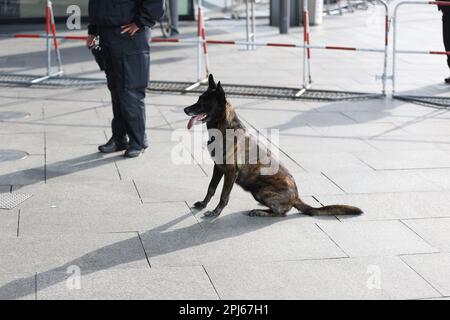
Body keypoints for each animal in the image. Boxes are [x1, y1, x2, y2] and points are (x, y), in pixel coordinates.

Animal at [185, 74, 364, 218]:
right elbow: (211, 188)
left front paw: (216, 212)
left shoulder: (230, 171)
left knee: (281, 213)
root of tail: (296, 197)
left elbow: (224, 195)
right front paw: (203, 204)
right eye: (198, 99)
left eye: (204, 102)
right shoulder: (218, 168)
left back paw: (261, 212)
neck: (224, 128)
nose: (185, 109)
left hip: (260, 190)